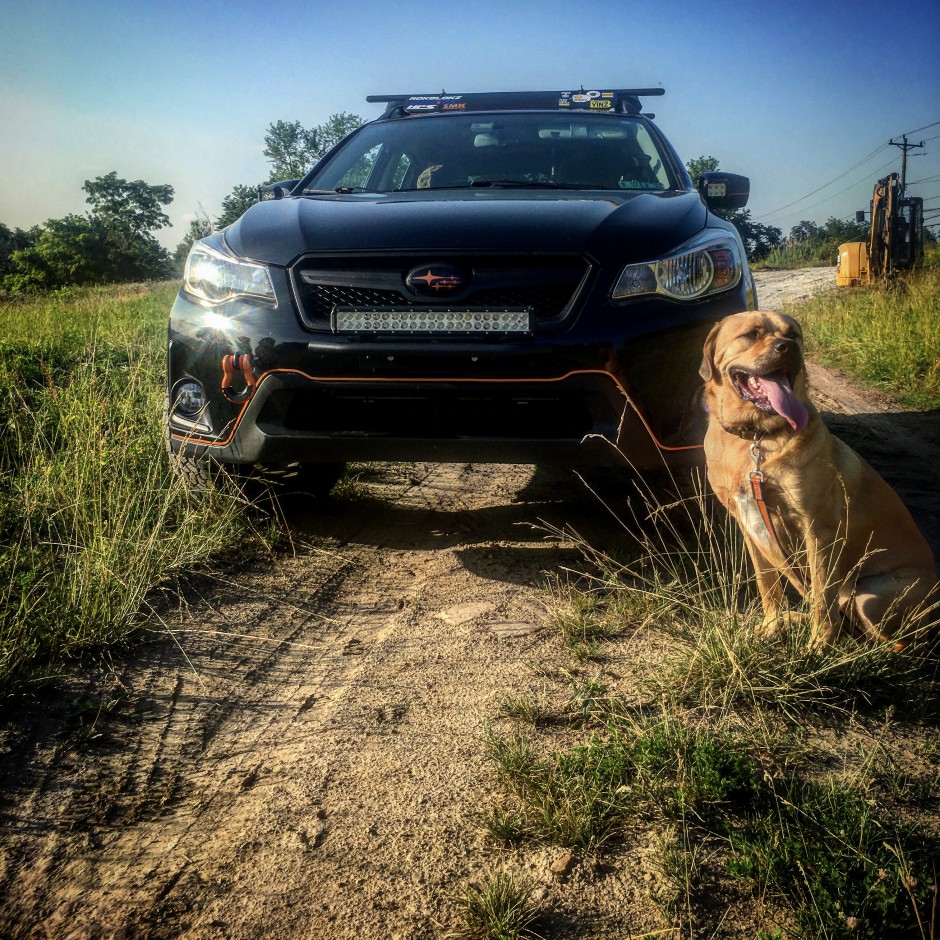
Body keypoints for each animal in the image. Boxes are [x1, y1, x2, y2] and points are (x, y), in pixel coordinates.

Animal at [696, 308, 932, 648]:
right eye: (752, 334)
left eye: (793, 334)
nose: (787, 348)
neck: (758, 437)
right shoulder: (749, 524)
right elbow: (768, 584)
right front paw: (773, 625)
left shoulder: (816, 530)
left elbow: (821, 595)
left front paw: (818, 646)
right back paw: (796, 619)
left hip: (868, 595)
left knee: (890, 641)